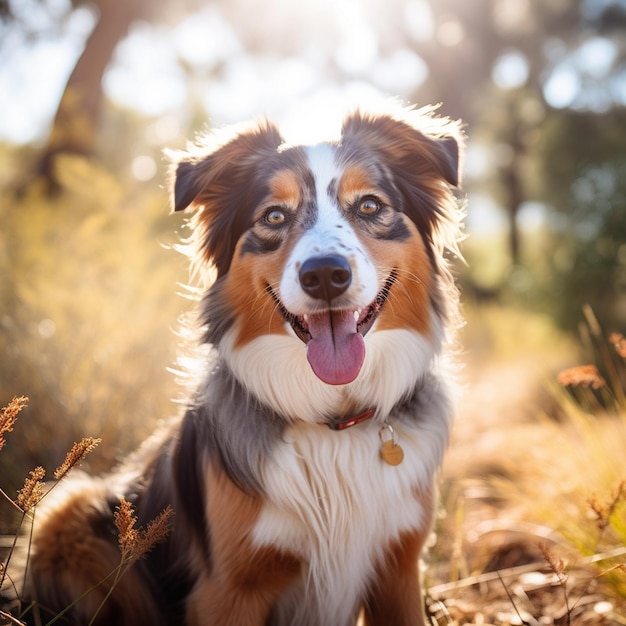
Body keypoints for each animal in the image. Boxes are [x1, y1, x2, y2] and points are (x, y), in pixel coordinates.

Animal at [23, 105, 464, 620]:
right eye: (274, 215)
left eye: (370, 206)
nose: (325, 275)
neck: (333, 421)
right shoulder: (229, 588)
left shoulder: (399, 567)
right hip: (67, 511)